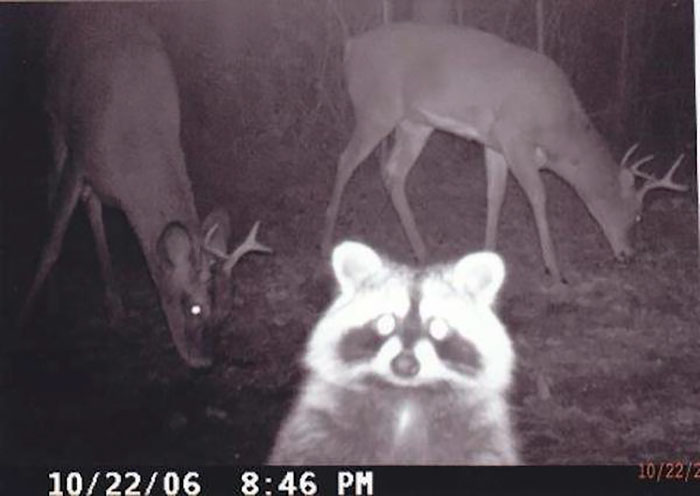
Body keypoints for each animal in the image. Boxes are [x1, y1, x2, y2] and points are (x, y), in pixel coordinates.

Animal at [18, 5, 270, 366]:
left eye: (227, 310)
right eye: (194, 308)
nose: (204, 361)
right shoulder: (80, 152)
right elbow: (52, 244)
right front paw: (22, 322)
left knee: (91, 204)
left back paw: (113, 304)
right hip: (53, 114)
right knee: (54, 187)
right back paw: (55, 302)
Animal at [268, 240, 520, 464]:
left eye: (437, 327)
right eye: (385, 323)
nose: (405, 365)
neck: (406, 394)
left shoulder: (483, 435)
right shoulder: (319, 425)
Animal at [320, 23, 688, 280]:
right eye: (637, 214)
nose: (628, 255)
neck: (559, 130)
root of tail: (350, 47)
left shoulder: (494, 144)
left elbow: (495, 194)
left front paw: (488, 251)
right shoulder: (515, 138)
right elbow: (538, 196)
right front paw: (554, 269)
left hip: (414, 123)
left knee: (393, 173)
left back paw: (422, 252)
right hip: (376, 110)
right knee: (345, 160)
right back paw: (326, 241)